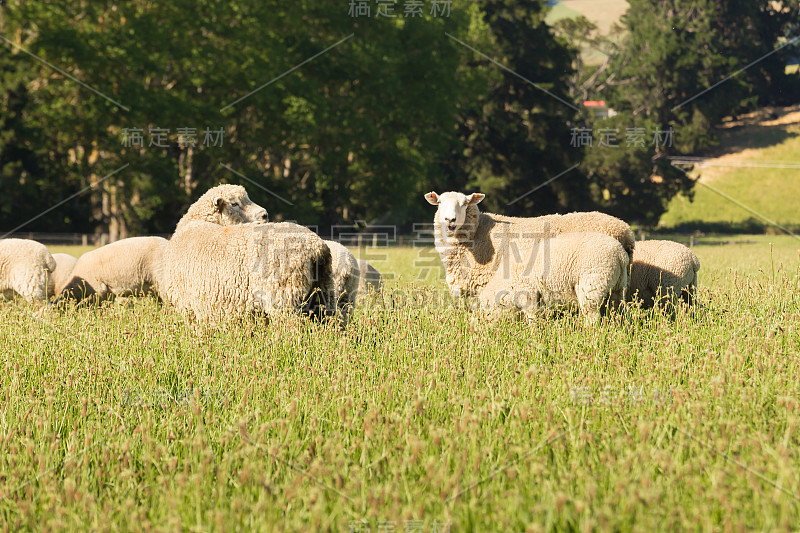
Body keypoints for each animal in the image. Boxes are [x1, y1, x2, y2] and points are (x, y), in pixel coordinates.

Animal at [476, 230, 632, 322]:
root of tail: (620, 254)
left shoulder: (528, 293)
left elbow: (532, 315)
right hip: (619, 285)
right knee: (620, 309)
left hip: (593, 283)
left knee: (591, 314)